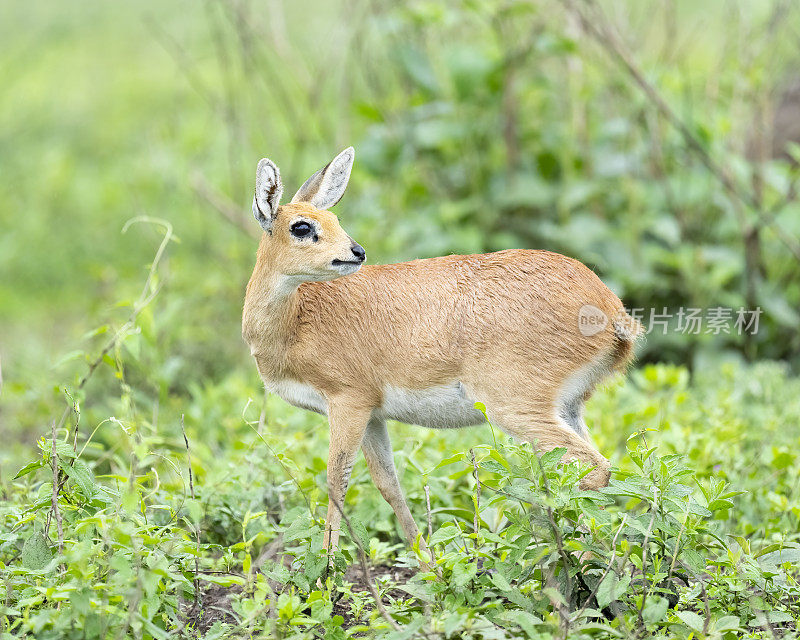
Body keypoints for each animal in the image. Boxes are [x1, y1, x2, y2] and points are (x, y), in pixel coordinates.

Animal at [241, 148, 640, 564]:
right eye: (302, 226)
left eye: (333, 220)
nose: (357, 252)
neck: (297, 319)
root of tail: (610, 307)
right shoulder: (373, 414)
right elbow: (388, 485)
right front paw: (426, 561)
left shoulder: (347, 402)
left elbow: (337, 481)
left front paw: (327, 567)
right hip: (568, 408)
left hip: (514, 408)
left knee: (596, 466)